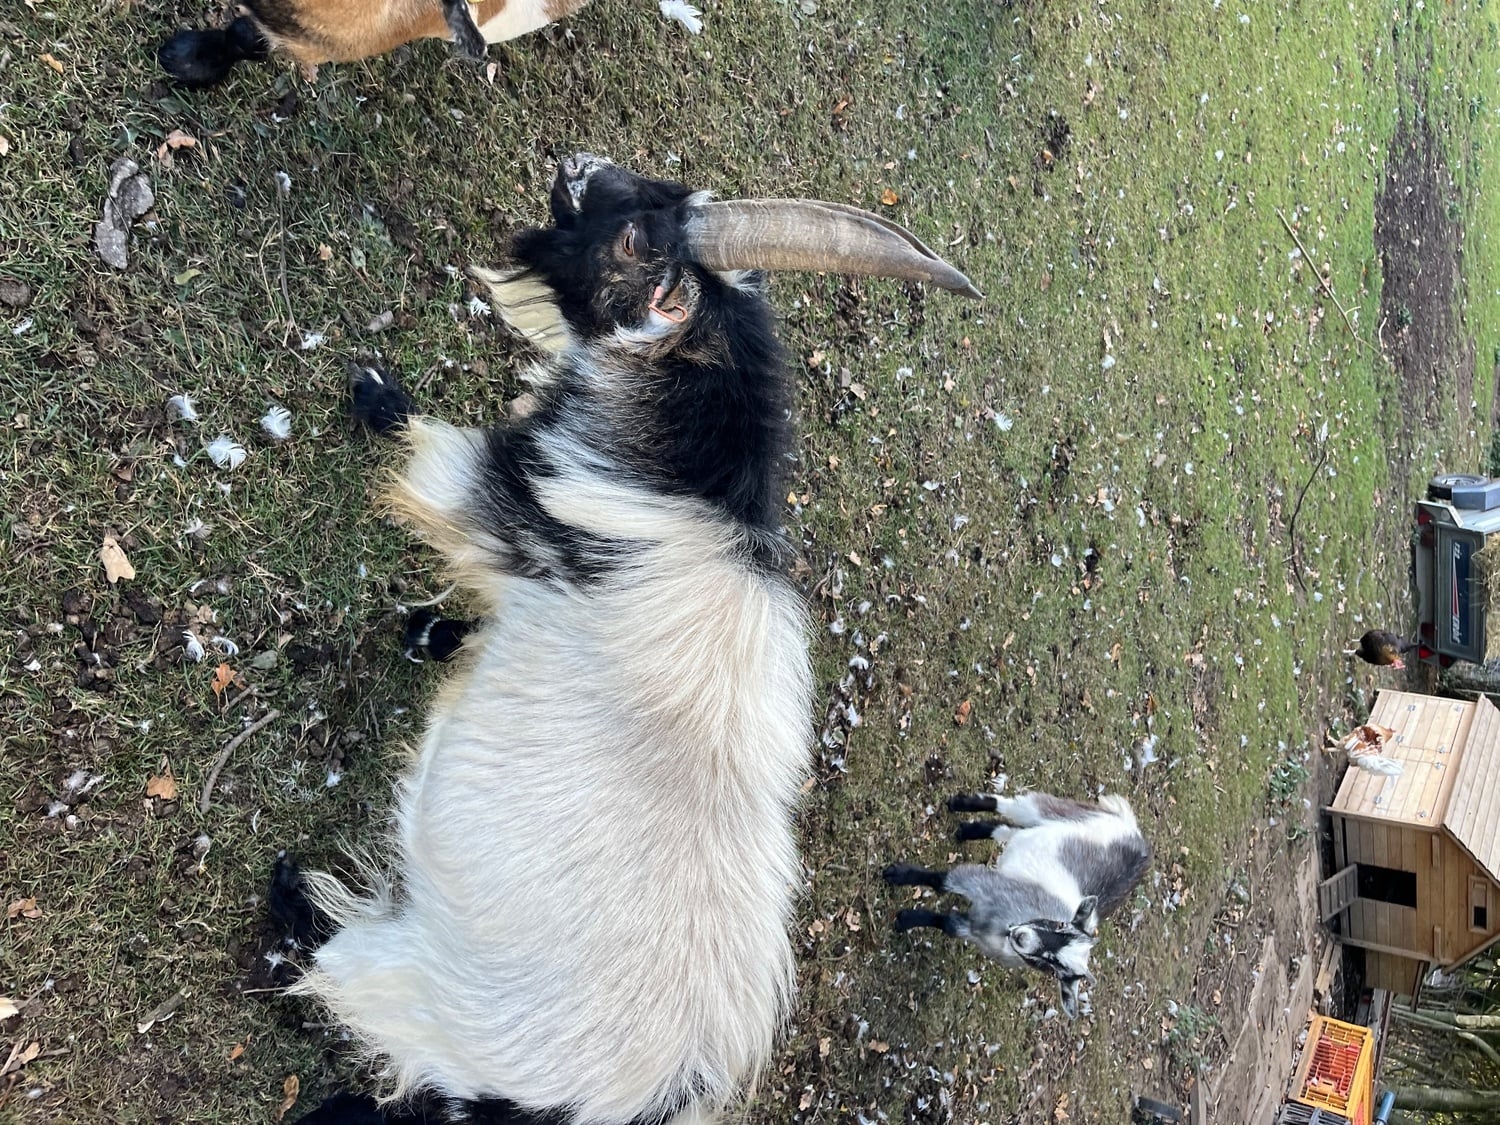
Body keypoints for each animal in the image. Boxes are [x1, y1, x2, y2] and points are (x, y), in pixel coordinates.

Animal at [275, 153, 978, 1125]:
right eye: (659, 195)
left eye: (640, 240)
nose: (576, 166)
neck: (689, 491)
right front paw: (435, 632)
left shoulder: (494, 501)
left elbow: (426, 453)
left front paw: (375, 395)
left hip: (414, 987)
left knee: (337, 971)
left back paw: (289, 895)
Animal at [883, 786, 1150, 1019]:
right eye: (1060, 926)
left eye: (1055, 967)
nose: (1022, 937)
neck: (1004, 928)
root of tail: (1136, 835)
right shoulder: (981, 882)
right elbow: (941, 881)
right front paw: (898, 877)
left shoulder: (974, 930)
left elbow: (947, 922)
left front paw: (905, 919)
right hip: (1055, 811)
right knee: (1010, 806)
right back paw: (960, 804)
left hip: (1037, 831)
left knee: (1007, 830)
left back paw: (968, 831)